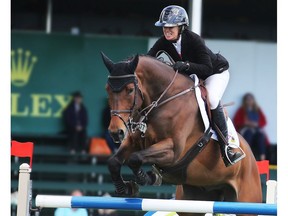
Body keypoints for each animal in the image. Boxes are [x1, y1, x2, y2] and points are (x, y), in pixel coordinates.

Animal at [101, 52, 264, 216]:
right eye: (107, 89)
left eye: (129, 90)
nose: (116, 132)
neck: (163, 101)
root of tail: (252, 158)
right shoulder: (133, 141)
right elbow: (113, 162)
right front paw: (126, 188)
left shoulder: (173, 150)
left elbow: (135, 158)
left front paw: (148, 178)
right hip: (194, 200)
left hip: (246, 201)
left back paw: (232, 154)